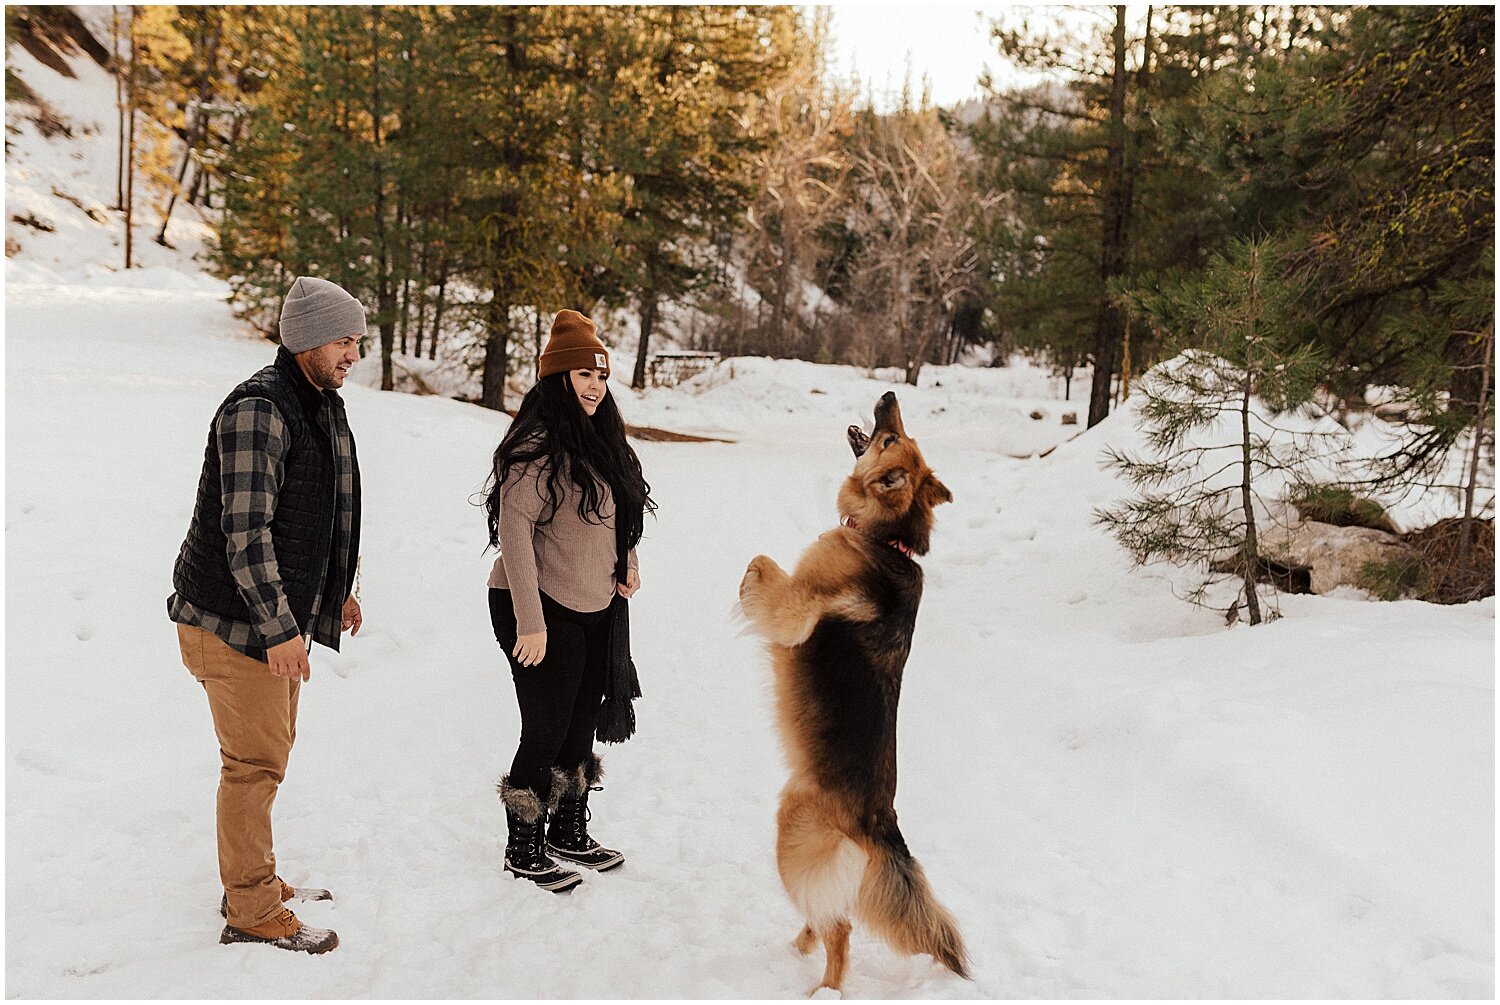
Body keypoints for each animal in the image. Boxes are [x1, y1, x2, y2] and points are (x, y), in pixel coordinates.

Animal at [741, 390, 972, 996]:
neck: (887, 538)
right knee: (829, 913)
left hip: (792, 833)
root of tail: (881, 825)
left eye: (889, 439)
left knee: (839, 927)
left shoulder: (796, 607)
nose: (890, 395)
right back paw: (800, 948)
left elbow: (764, 563)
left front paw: (747, 584)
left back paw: (823, 987)